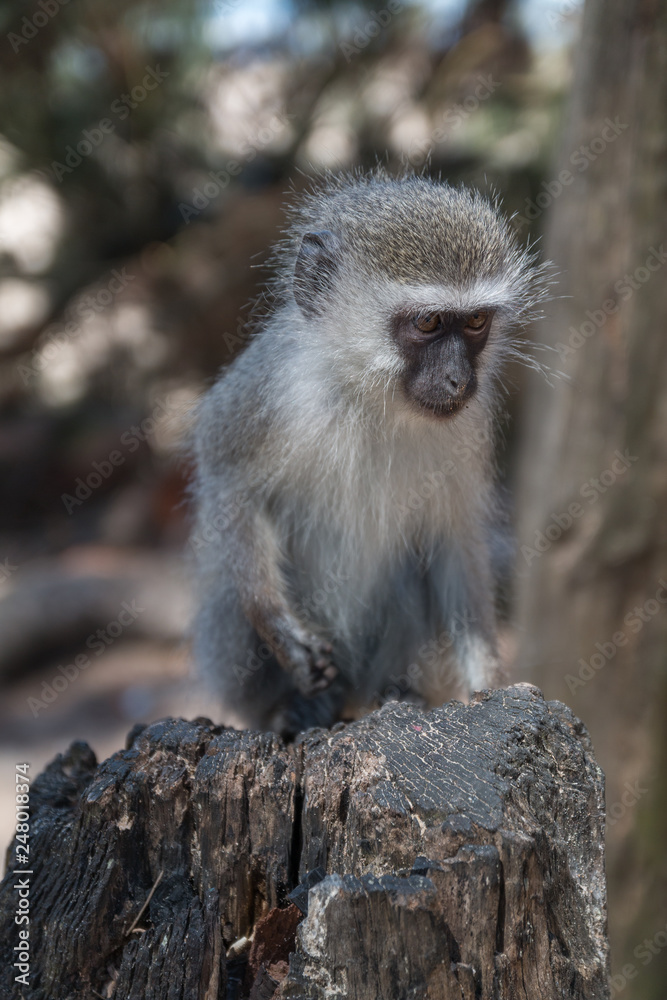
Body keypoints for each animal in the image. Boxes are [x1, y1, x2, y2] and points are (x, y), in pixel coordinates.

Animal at [190, 169, 546, 737]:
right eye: (428, 323)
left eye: (474, 323)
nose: (459, 379)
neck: (371, 396)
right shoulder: (270, 388)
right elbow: (226, 477)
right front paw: (279, 626)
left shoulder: (469, 426)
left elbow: (453, 541)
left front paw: (490, 683)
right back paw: (290, 708)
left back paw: (396, 692)